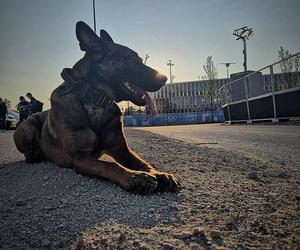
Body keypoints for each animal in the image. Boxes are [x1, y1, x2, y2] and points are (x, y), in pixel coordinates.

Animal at [12, 21, 179, 194]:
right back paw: (32, 155)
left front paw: (159, 173)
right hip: (28, 124)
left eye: (140, 59)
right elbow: (111, 165)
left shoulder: (121, 149)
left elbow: (143, 163)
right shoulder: (81, 158)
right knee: (27, 146)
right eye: (131, 59)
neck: (96, 100)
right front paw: (135, 177)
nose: (164, 78)